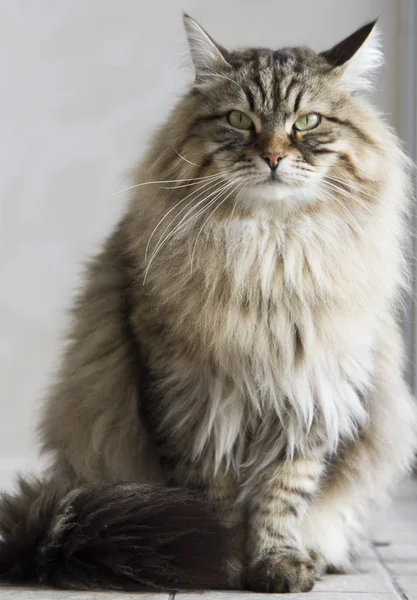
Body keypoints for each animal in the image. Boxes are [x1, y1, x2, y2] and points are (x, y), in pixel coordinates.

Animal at [0, 14, 416, 596]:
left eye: (307, 121)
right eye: (239, 119)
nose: (273, 156)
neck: (269, 256)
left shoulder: (312, 393)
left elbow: (283, 496)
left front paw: (278, 562)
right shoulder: (189, 397)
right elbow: (210, 495)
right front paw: (216, 559)